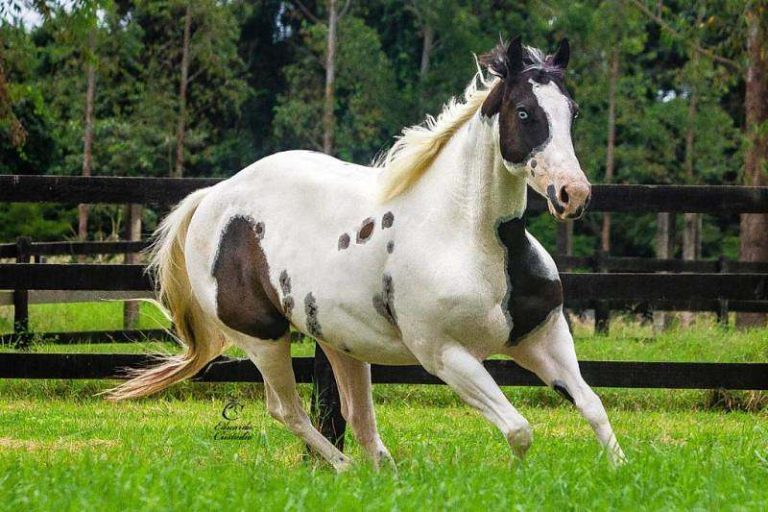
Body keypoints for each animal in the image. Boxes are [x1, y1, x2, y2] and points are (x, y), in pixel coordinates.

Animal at [107, 36, 625, 470]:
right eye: (523, 112)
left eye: (572, 112)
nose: (573, 195)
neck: (470, 236)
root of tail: (213, 196)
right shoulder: (444, 354)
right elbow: (519, 429)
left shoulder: (543, 337)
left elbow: (593, 407)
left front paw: (620, 473)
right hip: (263, 338)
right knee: (287, 411)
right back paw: (344, 469)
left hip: (340, 343)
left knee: (357, 418)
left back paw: (383, 476)